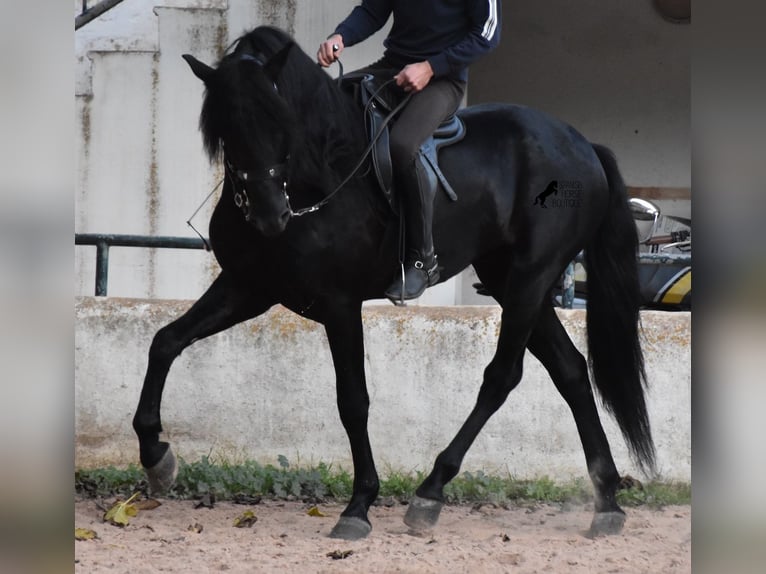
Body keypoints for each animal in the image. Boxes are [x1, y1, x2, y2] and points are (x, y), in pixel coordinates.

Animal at [132, 25, 656, 540]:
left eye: (279, 119)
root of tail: (583, 145)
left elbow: (353, 400)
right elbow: (166, 341)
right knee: (570, 371)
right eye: (225, 127)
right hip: (511, 281)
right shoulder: (249, 287)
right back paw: (606, 501)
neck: (319, 176)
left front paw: (359, 504)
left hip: (531, 278)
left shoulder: (339, 304)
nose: (269, 216)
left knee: (502, 377)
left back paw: (431, 491)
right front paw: (156, 456)